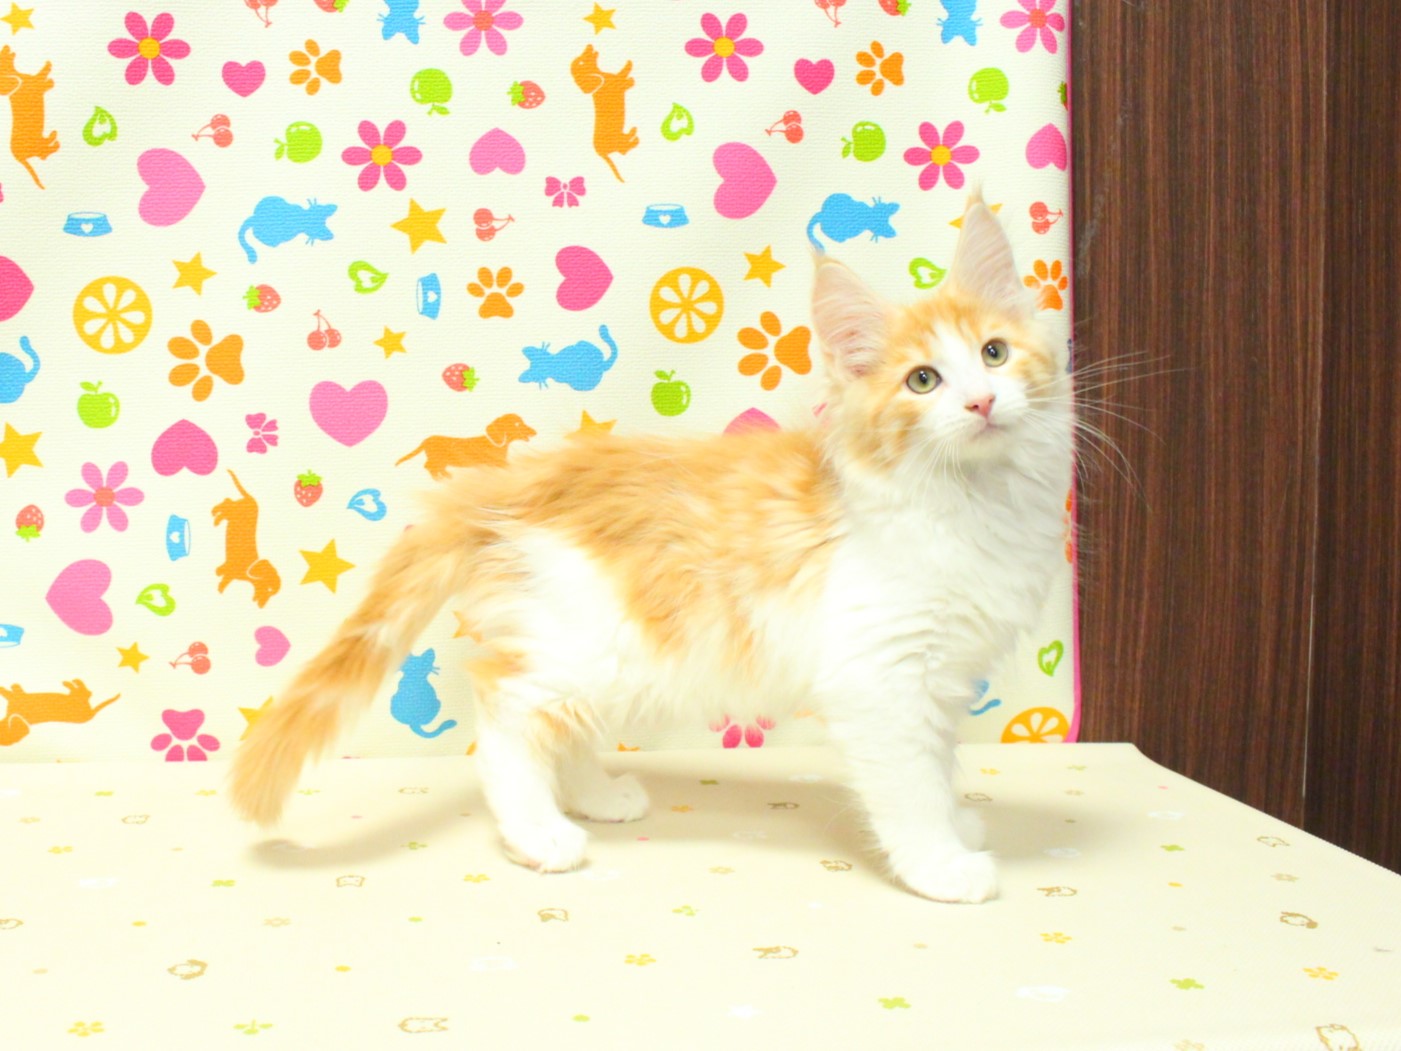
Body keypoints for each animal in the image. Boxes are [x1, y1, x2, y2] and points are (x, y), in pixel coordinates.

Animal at [229, 194, 1073, 904]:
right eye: (922, 380)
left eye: (994, 353)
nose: (981, 401)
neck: (971, 502)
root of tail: (507, 481)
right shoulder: (881, 675)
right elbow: (908, 784)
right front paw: (941, 863)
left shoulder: (943, 674)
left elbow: (940, 761)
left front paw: (957, 821)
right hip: (599, 640)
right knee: (506, 712)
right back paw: (539, 832)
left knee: (556, 723)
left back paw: (596, 796)